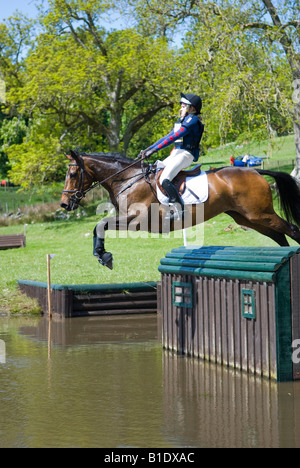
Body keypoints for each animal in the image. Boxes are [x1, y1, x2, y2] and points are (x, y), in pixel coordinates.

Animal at [59, 148, 300, 268]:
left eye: (73, 174)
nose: (64, 204)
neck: (128, 179)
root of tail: (256, 171)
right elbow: (99, 227)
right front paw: (102, 255)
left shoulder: (135, 220)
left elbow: (100, 225)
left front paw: (103, 256)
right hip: (248, 218)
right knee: (279, 236)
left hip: (260, 214)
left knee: (292, 230)